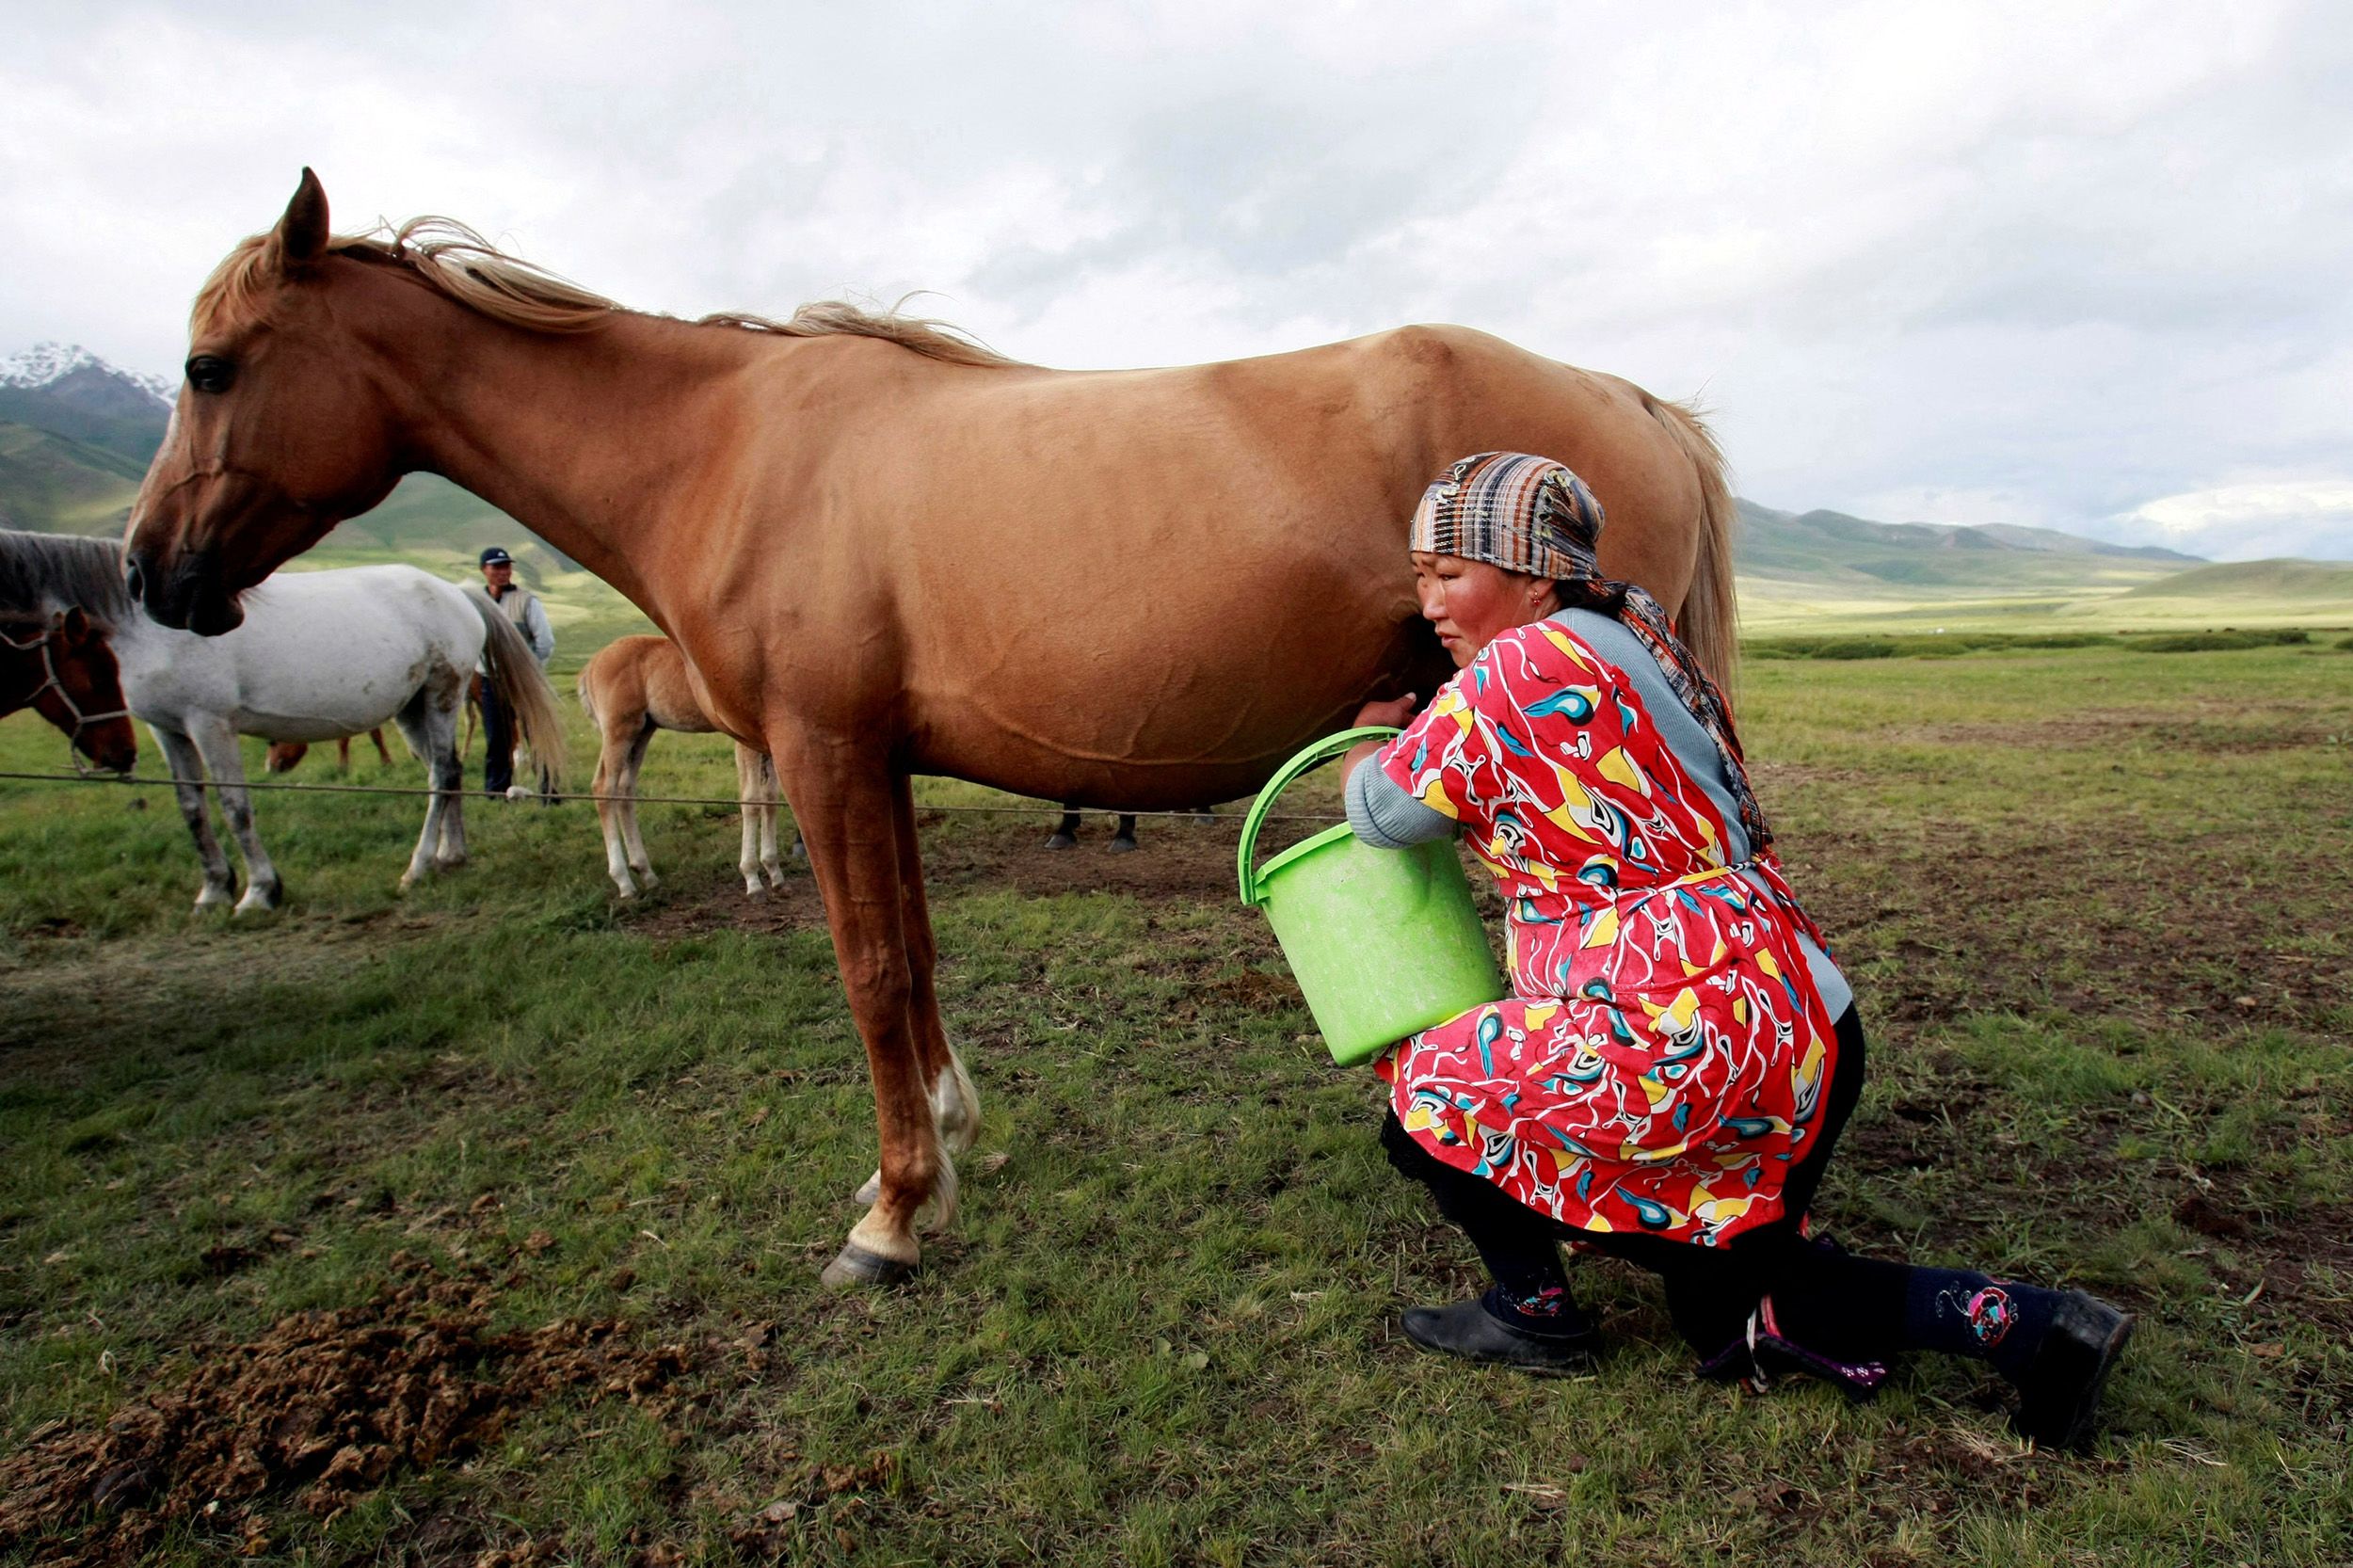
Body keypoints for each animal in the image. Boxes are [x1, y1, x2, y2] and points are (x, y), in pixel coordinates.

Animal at [8, 534, 562, 908]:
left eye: (98, 669)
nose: (119, 757)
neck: (146, 624)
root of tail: (455, 591)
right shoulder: (166, 729)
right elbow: (192, 809)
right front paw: (212, 890)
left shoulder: (209, 722)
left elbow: (235, 807)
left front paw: (259, 891)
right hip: (413, 707)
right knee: (447, 773)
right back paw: (451, 855)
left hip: (443, 694)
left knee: (442, 773)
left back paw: (419, 866)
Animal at [574, 631, 786, 899]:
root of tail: (592, 664)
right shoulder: (745, 741)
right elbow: (752, 801)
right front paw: (752, 879)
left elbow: (771, 799)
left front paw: (774, 872)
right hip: (618, 731)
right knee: (604, 789)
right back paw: (624, 882)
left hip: (642, 732)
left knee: (625, 791)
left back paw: (646, 873)